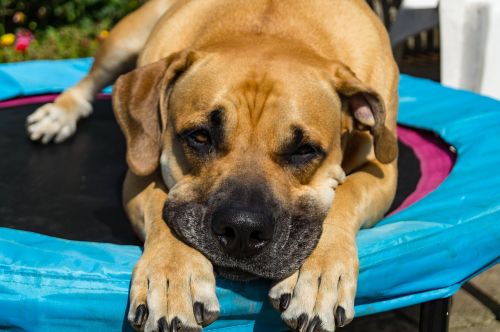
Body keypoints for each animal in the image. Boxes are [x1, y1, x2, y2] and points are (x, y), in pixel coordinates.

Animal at [25, 1, 398, 330]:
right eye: (201, 136)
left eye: (304, 150)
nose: (243, 230)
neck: (273, 28)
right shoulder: (139, 170)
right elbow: (162, 206)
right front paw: (174, 274)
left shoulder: (383, 173)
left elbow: (347, 194)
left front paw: (318, 272)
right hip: (125, 39)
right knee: (89, 80)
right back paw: (59, 113)